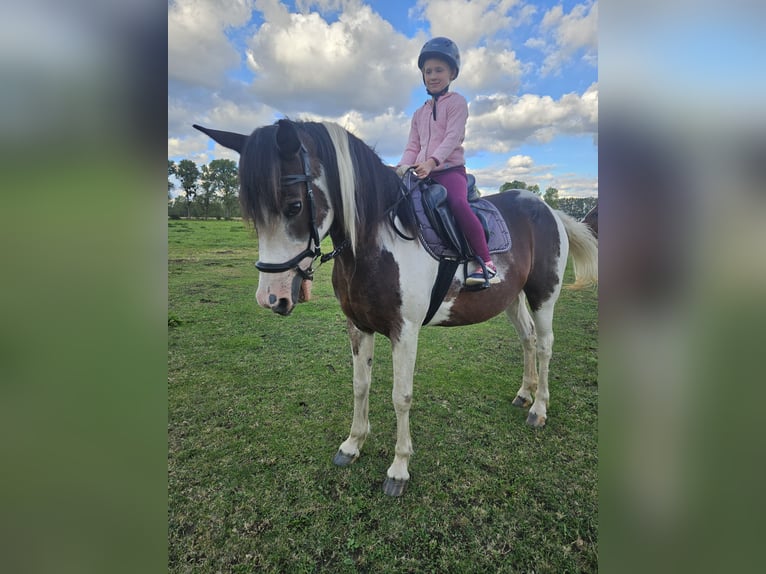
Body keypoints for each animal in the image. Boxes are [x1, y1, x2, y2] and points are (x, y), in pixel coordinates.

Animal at [194, 119, 600, 498]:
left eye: (294, 205)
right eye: (251, 214)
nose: (271, 297)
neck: (378, 240)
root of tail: (548, 209)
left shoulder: (404, 332)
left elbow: (400, 397)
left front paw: (399, 469)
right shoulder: (358, 326)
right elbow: (360, 385)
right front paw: (352, 444)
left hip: (543, 295)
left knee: (544, 345)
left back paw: (539, 409)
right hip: (511, 298)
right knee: (528, 340)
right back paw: (524, 394)